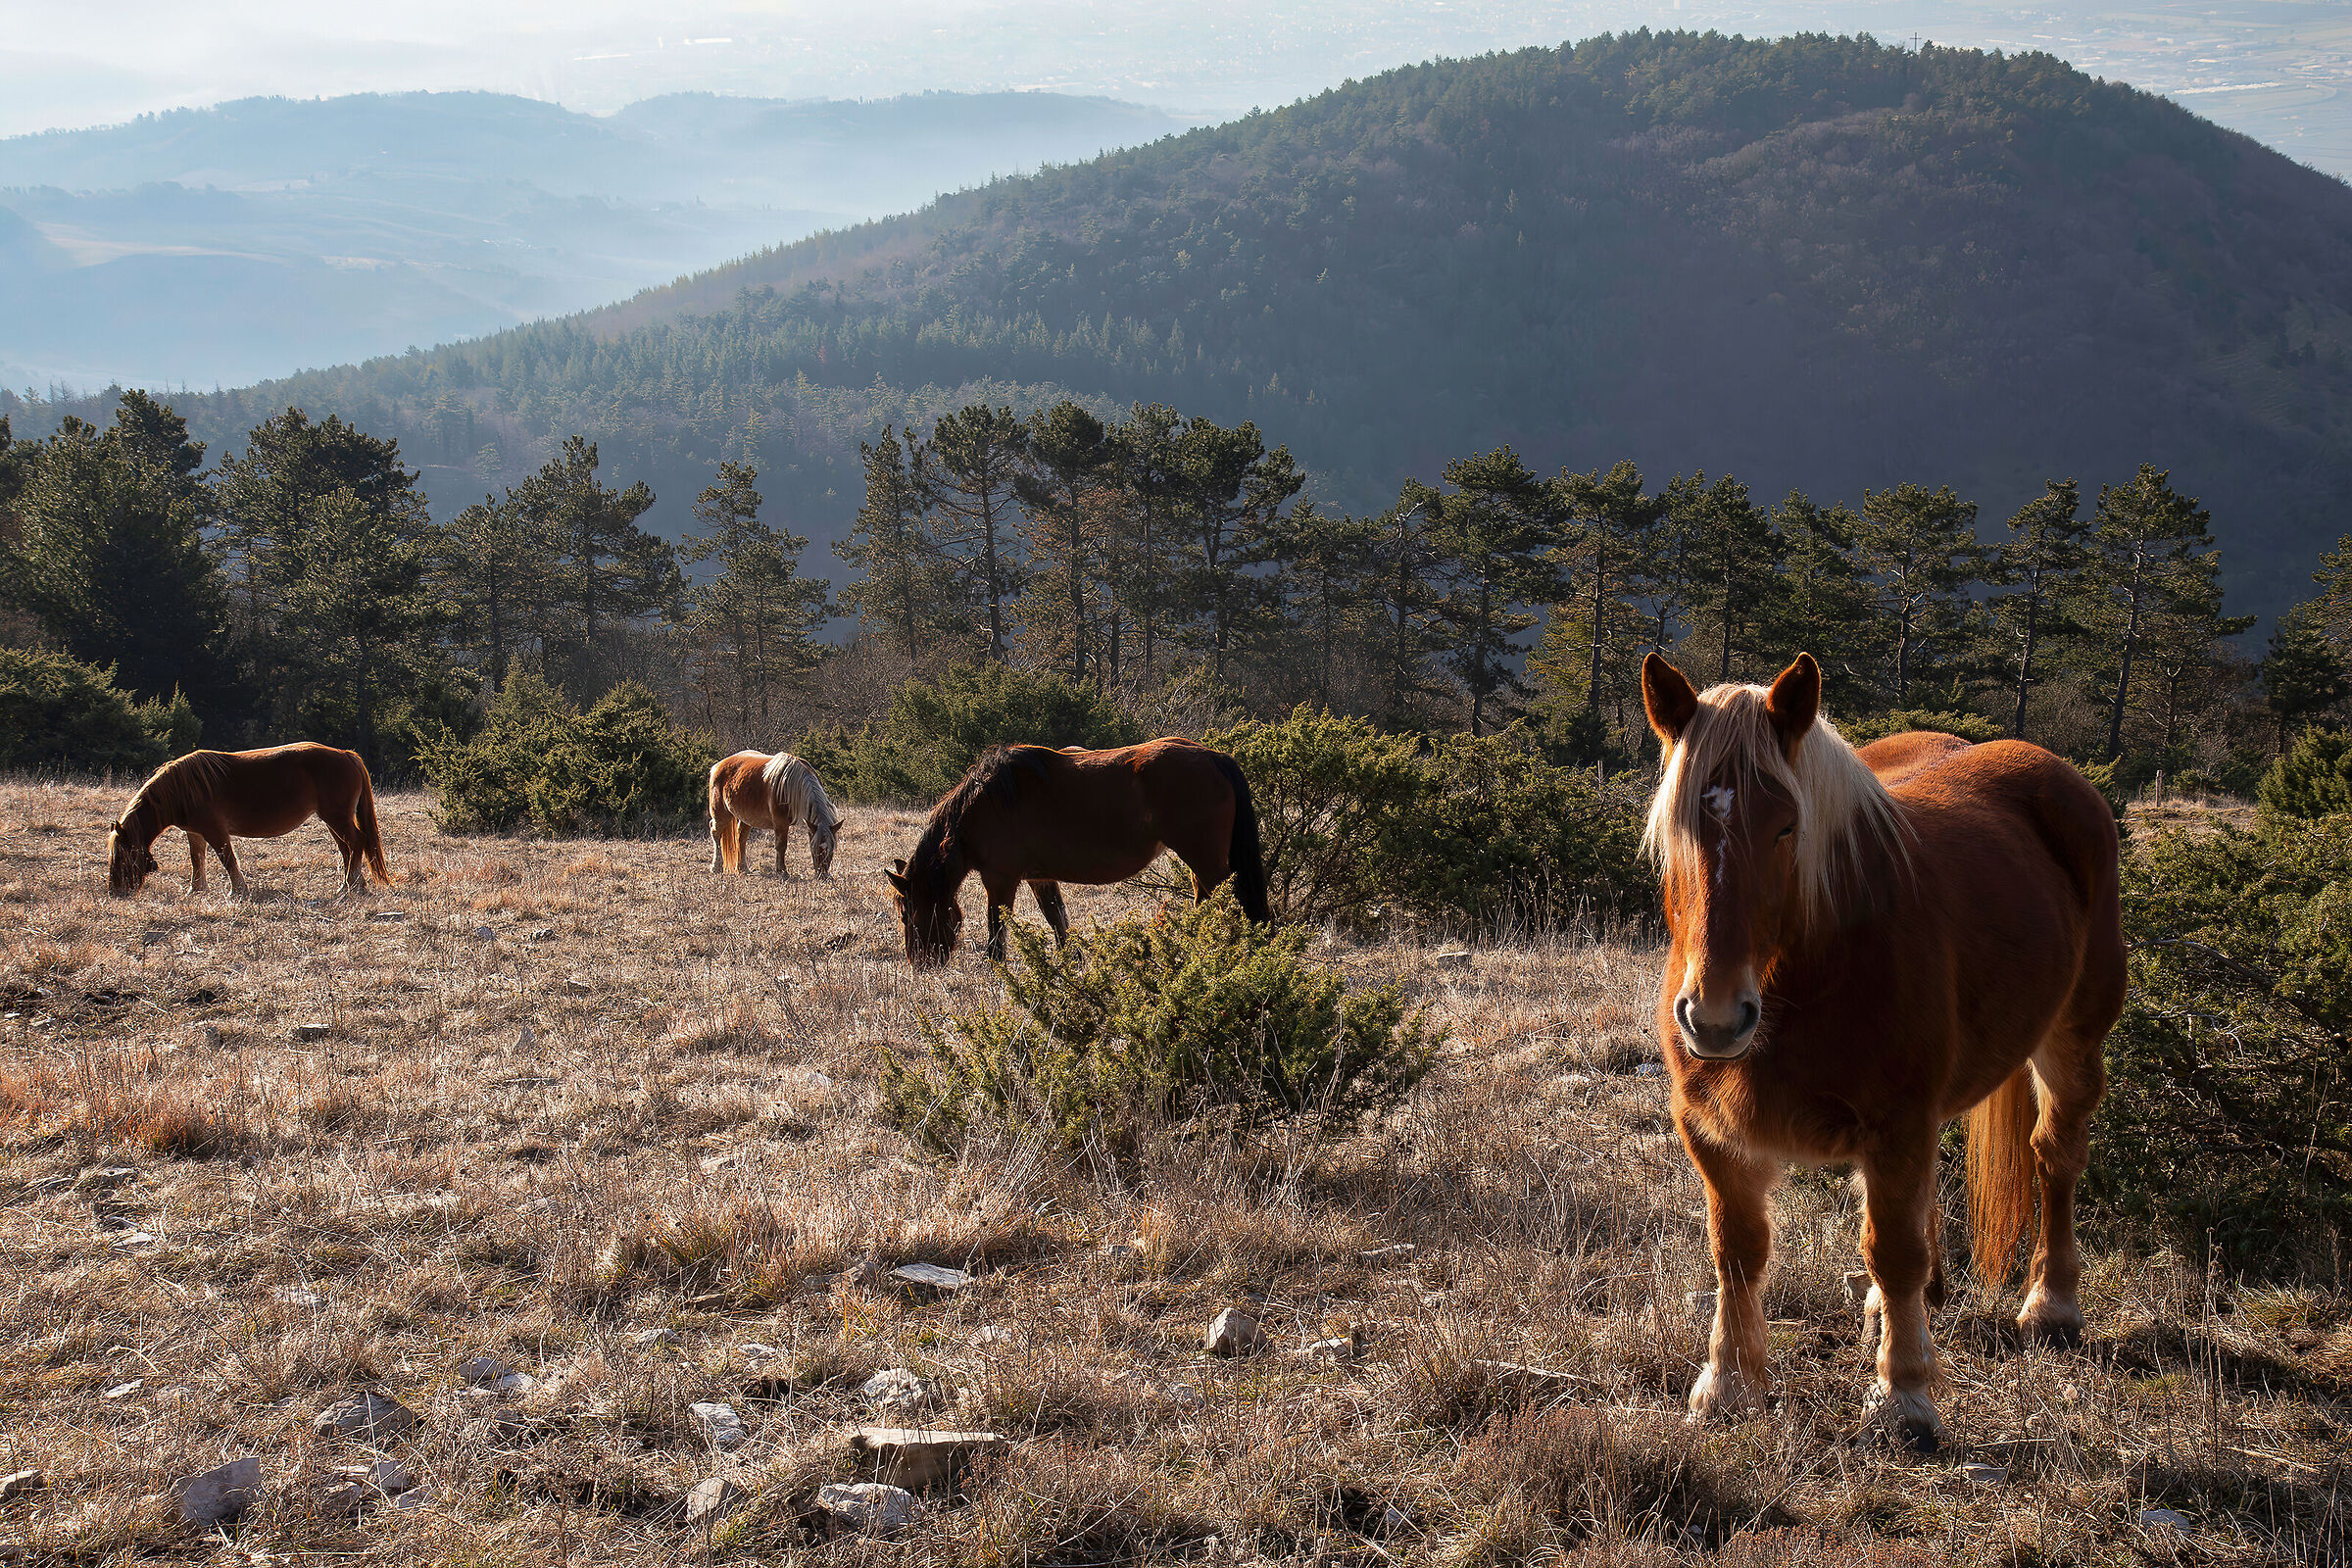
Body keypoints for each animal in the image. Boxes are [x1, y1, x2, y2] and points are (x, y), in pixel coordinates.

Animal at [107, 743, 389, 899]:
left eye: (121, 855)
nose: (116, 891)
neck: (185, 789)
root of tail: (347, 754)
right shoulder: (195, 833)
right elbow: (197, 859)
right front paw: (195, 890)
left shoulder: (215, 831)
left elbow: (227, 859)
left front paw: (238, 891)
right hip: (333, 821)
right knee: (348, 848)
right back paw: (355, 885)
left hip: (337, 818)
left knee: (357, 842)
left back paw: (348, 885)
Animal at [707, 750, 840, 879]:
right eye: (816, 848)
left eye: (832, 849)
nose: (823, 876)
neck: (792, 785)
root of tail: (717, 766)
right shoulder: (780, 822)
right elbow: (781, 846)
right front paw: (782, 872)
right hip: (721, 813)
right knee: (715, 833)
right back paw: (716, 867)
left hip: (746, 817)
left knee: (741, 838)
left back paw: (743, 868)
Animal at [884, 737, 1269, 968]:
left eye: (906, 914)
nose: (919, 965)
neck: (986, 803)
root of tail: (1216, 758)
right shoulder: (1039, 878)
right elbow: (1058, 920)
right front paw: (1071, 963)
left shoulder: (1000, 880)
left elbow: (997, 933)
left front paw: (996, 970)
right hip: (1200, 864)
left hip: (1208, 862)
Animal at [1638, 650, 2123, 1451]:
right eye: (1677, 828)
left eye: (1786, 826)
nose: (1715, 1018)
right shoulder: (1713, 1132)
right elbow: (1737, 1251)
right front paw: (1730, 1385)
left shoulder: (1897, 1123)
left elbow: (1891, 1250)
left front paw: (1904, 1397)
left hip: (2072, 1038)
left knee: (2056, 1154)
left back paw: (2051, 1306)